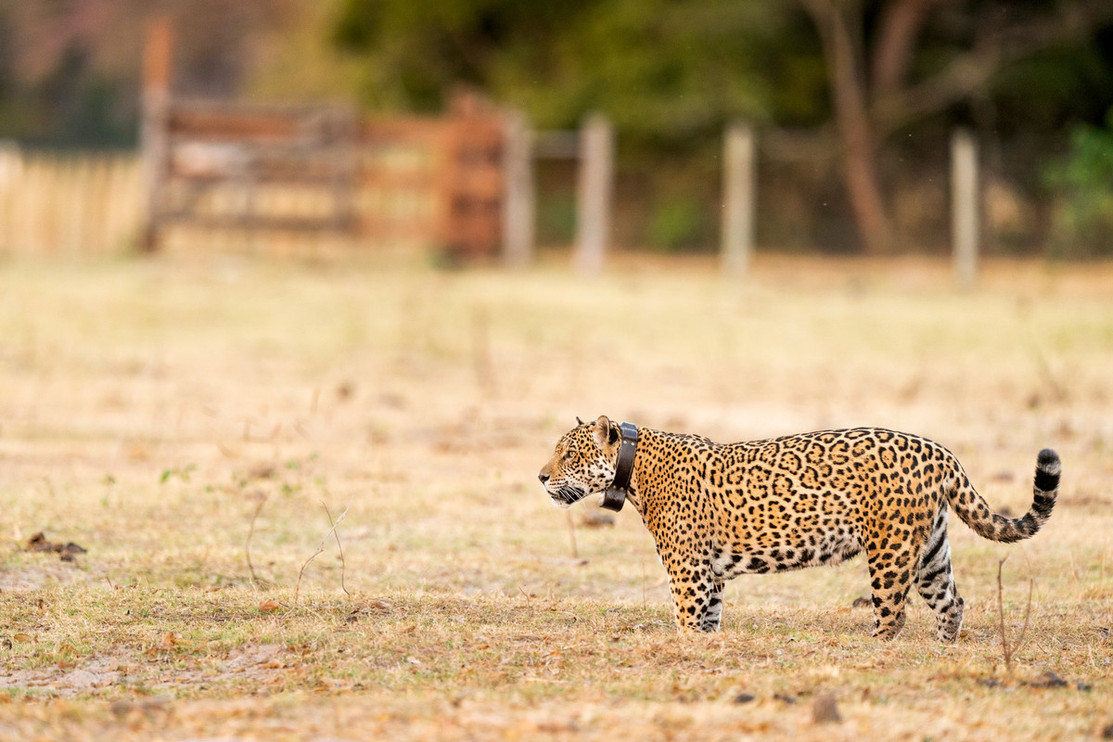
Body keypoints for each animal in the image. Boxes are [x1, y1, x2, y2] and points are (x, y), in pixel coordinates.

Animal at [537, 415, 1060, 641]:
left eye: (569, 454)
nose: (541, 476)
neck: (633, 467)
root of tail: (938, 450)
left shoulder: (688, 571)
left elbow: (687, 618)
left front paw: (685, 648)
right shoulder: (711, 573)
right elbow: (710, 618)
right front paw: (707, 648)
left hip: (889, 551)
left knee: (893, 612)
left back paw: (874, 650)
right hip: (931, 548)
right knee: (952, 601)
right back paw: (941, 647)